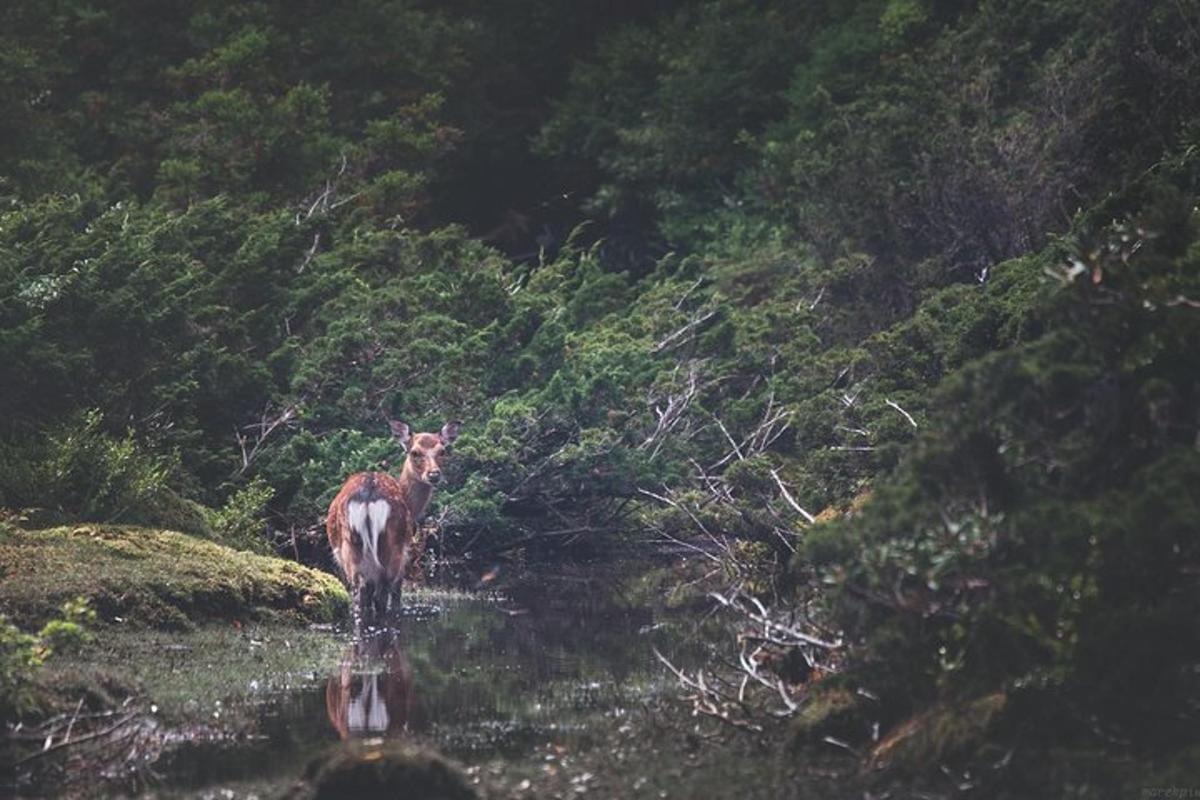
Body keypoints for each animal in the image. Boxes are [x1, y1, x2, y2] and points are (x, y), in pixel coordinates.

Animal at [326, 419, 460, 638]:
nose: (434, 474)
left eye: (443, 451)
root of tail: (368, 497)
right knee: (383, 597)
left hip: (350, 550)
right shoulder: (406, 554)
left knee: (360, 597)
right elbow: (397, 598)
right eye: (414, 452)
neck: (411, 504)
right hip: (393, 549)